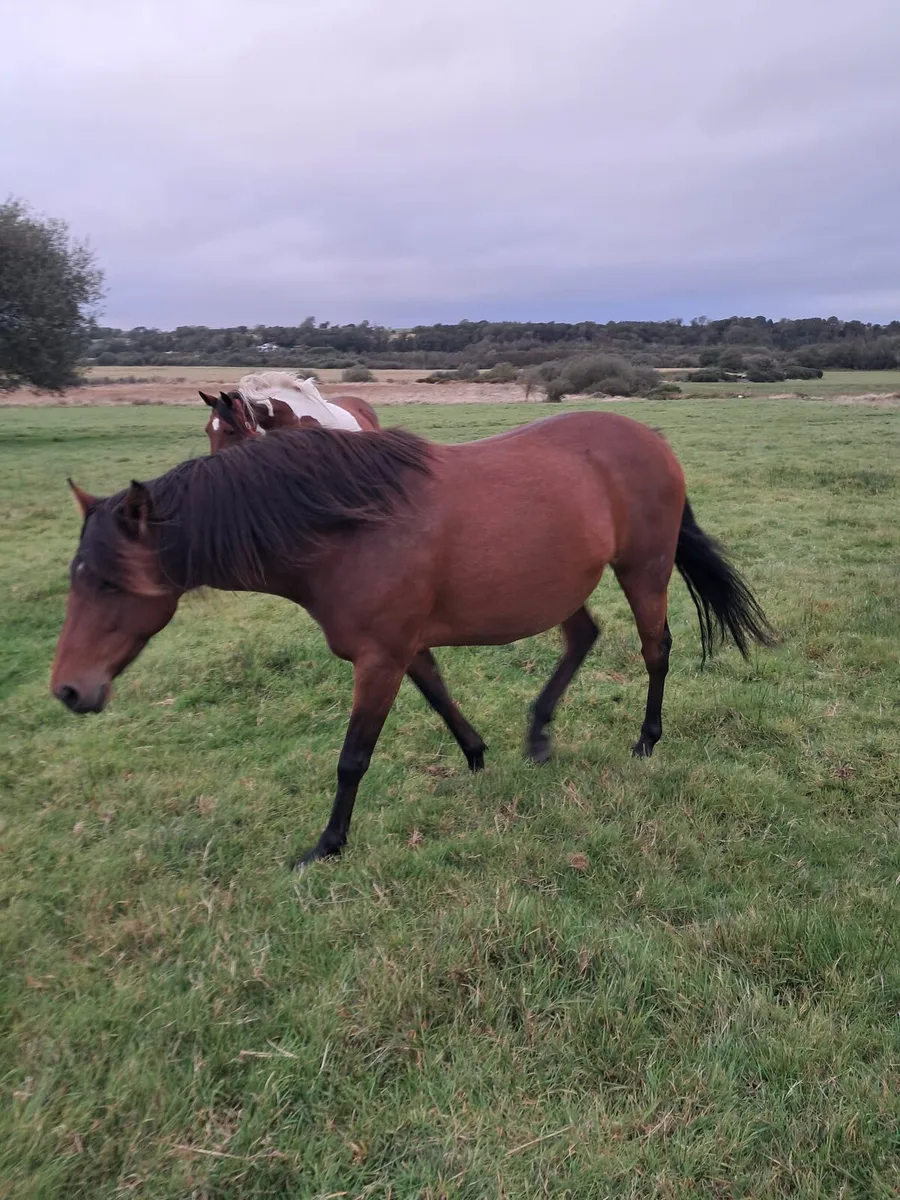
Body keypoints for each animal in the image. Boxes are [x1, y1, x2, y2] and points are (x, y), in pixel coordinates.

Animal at [51, 411, 773, 869]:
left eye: (109, 584)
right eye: (75, 577)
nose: (68, 690)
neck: (346, 528)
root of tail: (651, 439)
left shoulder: (379, 659)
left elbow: (352, 757)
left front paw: (327, 845)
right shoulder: (400, 649)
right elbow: (442, 698)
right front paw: (480, 759)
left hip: (643, 569)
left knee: (656, 651)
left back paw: (646, 741)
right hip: (562, 586)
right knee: (584, 636)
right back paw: (539, 734)